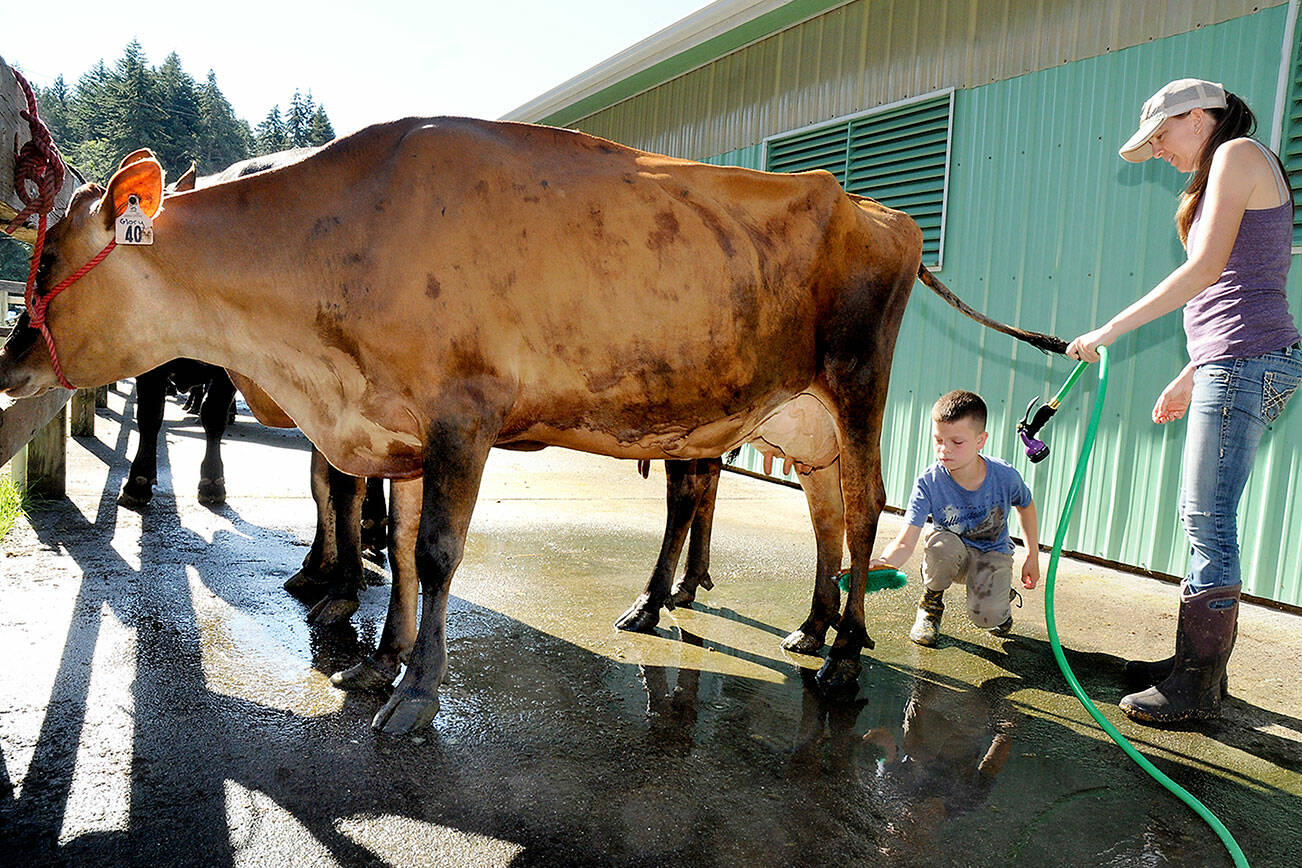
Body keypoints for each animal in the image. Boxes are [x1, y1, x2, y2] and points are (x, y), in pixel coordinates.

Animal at [0, 120, 1057, 733]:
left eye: (47, 259)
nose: (9, 366)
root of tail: (878, 210)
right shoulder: (402, 427)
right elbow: (397, 534)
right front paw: (380, 657)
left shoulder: (463, 417)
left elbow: (434, 551)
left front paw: (417, 692)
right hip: (801, 418)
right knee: (826, 510)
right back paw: (805, 626)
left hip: (854, 384)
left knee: (869, 505)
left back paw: (842, 658)